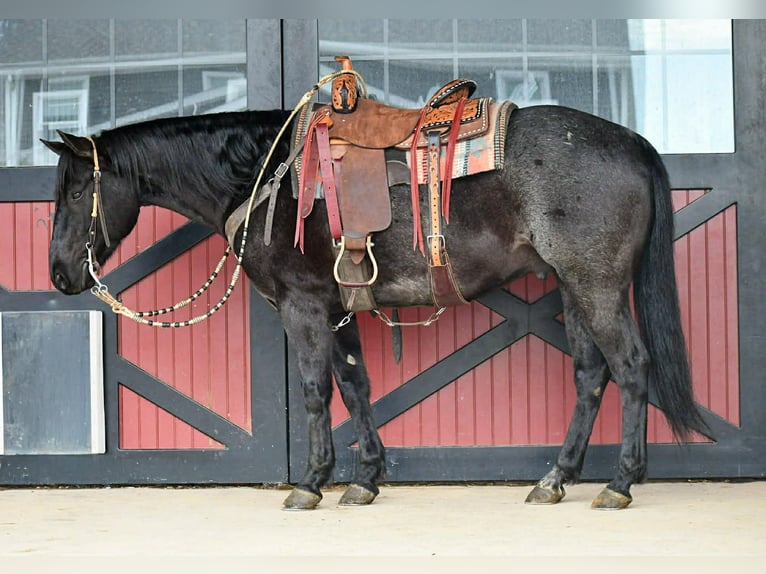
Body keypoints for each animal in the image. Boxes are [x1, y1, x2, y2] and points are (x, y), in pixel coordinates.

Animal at [44, 100, 708, 510]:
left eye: (76, 190)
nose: (57, 273)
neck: (263, 176)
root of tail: (631, 141)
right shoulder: (336, 307)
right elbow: (354, 385)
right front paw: (365, 480)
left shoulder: (302, 307)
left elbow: (317, 391)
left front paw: (311, 484)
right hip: (573, 287)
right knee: (591, 375)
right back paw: (556, 478)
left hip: (596, 287)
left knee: (631, 368)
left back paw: (620, 483)